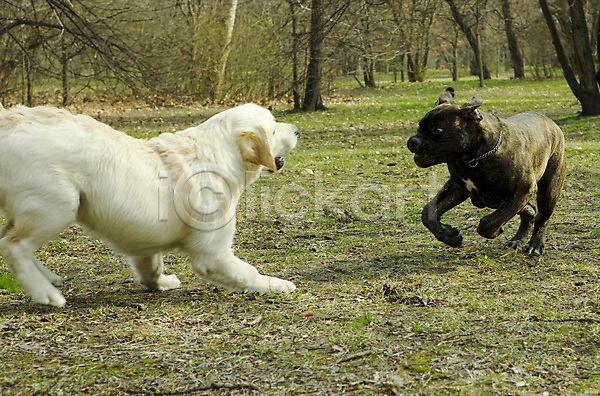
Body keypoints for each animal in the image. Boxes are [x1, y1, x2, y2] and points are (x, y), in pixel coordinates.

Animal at [0, 102, 298, 306]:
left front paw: (162, 283)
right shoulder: (212, 254)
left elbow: (151, 268)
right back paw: (46, 293)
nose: (296, 129)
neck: (219, 154)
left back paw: (48, 278)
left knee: (7, 241)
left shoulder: (145, 237)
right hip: (59, 206)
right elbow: (249, 273)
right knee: (14, 246)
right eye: (273, 128)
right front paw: (277, 284)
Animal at [406, 88, 564, 255]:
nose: (414, 141)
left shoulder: (523, 190)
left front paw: (493, 231)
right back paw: (517, 240)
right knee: (529, 210)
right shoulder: (457, 187)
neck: (473, 159)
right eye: (419, 126)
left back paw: (535, 244)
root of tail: (551, 123)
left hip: (548, 191)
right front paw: (448, 235)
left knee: (541, 218)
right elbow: (428, 212)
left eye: (438, 130)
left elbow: (489, 222)